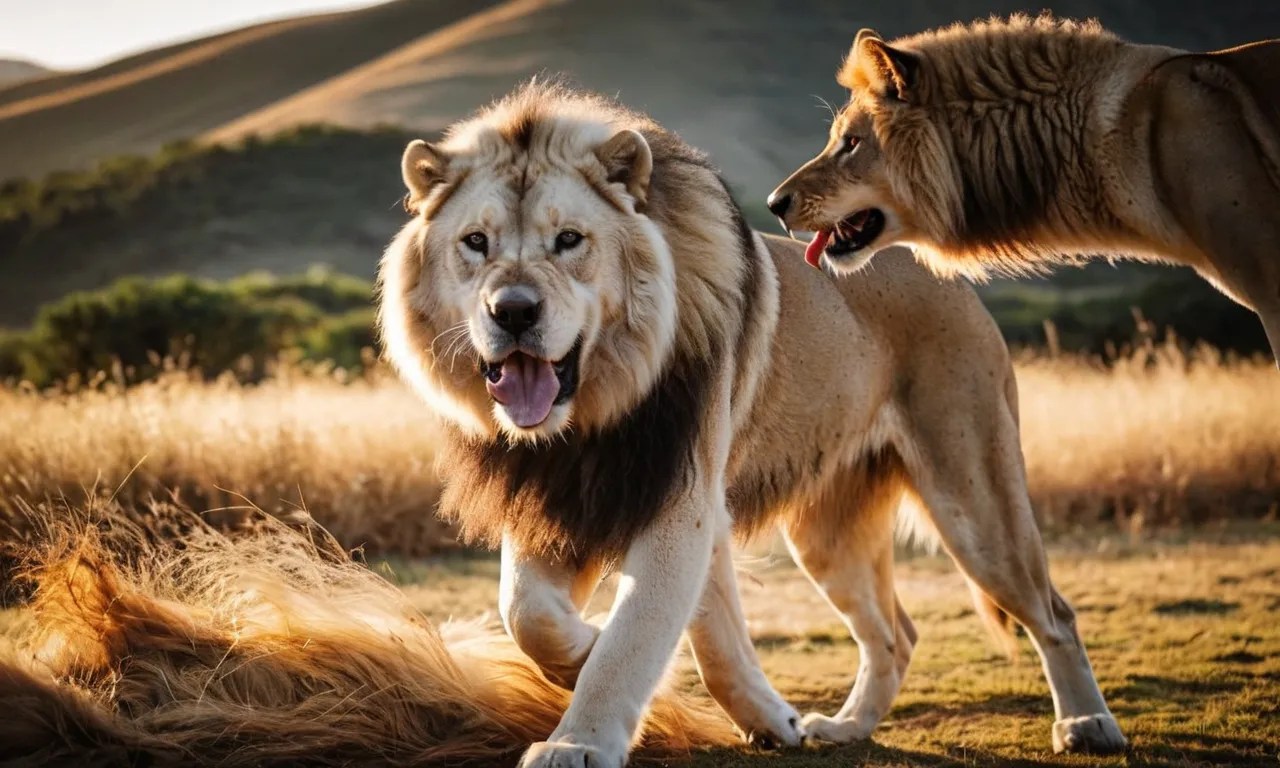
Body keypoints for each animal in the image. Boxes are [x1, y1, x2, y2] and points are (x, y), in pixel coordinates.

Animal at [378, 81, 1125, 766]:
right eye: (476, 242)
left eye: (570, 241)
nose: (513, 311)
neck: (592, 410)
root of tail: (938, 271)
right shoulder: (569, 494)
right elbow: (528, 613)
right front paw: (590, 654)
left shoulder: (680, 498)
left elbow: (638, 636)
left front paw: (578, 741)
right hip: (827, 536)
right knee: (895, 635)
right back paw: (845, 728)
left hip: (976, 502)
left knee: (1052, 613)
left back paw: (1087, 724)